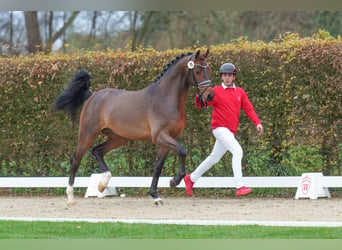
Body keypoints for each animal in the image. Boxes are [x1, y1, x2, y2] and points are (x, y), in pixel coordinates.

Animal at [53, 48, 214, 205]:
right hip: (87, 133)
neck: (165, 98)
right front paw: (174, 181)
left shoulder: (166, 141)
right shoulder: (160, 136)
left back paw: (102, 185)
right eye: (198, 71)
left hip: (118, 138)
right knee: (76, 159)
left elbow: (158, 167)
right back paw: (71, 197)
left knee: (97, 151)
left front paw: (155, 196)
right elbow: (182, 150)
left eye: (208, 69)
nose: (210, 96)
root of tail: (92, 96)